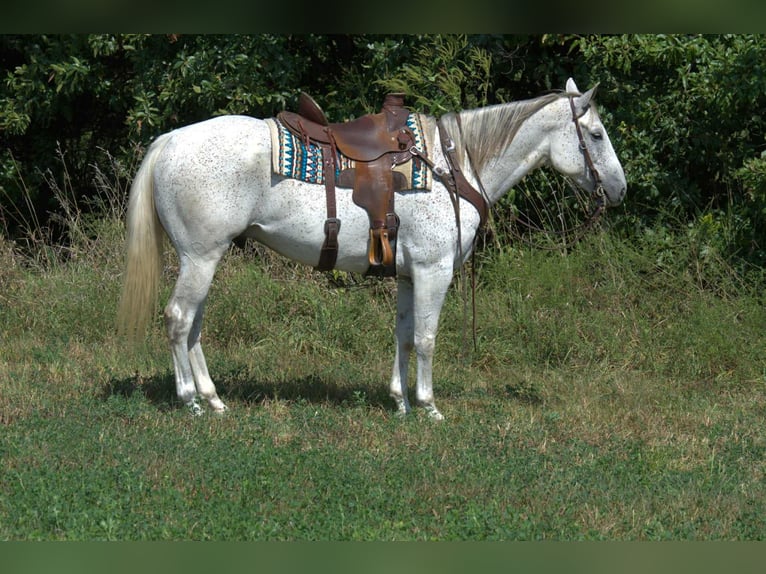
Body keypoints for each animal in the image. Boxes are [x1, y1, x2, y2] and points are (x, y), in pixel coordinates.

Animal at [117, 78, 626, 420]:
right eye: (596, 135)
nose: (621, 190)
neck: (456, 167)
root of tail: (169, 141)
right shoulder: (433, 270)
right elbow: (426, 337)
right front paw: (429, 407)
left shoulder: (408, 274)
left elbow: (403, 335)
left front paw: (400, 403)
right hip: (200, 257)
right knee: (178, 319)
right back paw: (189, 401)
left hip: (206, 256)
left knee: (194, 324)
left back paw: (213, 398)